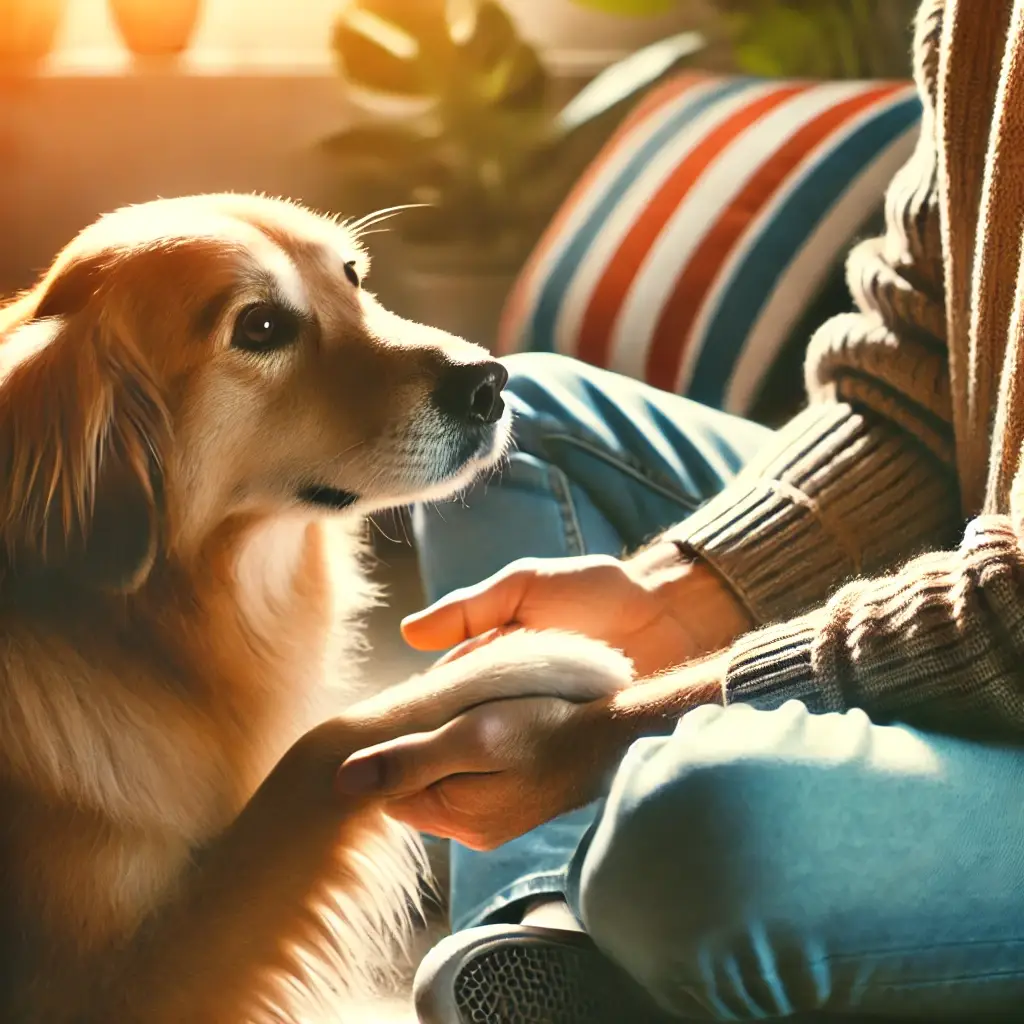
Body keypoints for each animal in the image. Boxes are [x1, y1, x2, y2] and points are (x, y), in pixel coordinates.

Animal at [0, 193, 630, 1024]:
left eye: (353, 276)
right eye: (261, 326)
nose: (491, 383)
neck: (138, 631)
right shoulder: (106, 990)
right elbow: (320, 747)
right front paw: (516, 656)